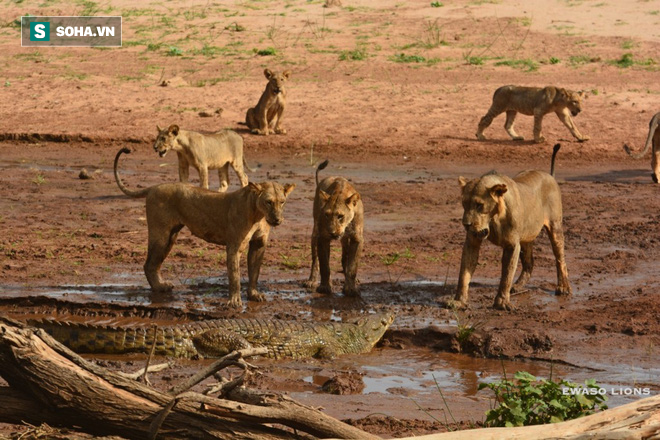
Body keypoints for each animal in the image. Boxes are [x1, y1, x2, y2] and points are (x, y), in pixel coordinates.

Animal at [114, 147, 296, 306]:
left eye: (282, 202)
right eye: (268, 202)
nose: (277, 219)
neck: (258, 215)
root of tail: (154, 187)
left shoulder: (258, 244)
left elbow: (254, 272)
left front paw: (254, 294)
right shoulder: (234, 246)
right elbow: (235, 275)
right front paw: (234, 301)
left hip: (171, 236)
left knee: (154, 264)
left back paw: (161, 287)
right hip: (161, 234)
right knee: (149, 264)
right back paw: (160, 288)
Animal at [306, 160, 366, 298]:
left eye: (340, 216)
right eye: (327, 215)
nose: (332, 232)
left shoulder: (357, 238)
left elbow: (352, 266)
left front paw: (350, 289)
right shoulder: (322, 237)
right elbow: (324, 265)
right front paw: (324, 287)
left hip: (345, 240)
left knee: (345, 257)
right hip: (315, 232)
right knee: (315, 259)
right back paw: (312, 281)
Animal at [448, 144, 572, 310]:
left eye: (479, 205)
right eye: (464, 204)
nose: (466, 224)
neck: (493, 219)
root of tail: (549, 175)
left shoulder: (512, 244)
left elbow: (506, 274)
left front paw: (501, 302)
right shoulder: (472, 241)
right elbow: (464, 272)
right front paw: (459, 301)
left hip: (555, 227)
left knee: (560, 258)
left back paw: (563, 287)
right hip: (526, 236)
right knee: (529, 262)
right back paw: (518, 286)